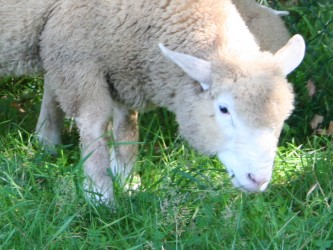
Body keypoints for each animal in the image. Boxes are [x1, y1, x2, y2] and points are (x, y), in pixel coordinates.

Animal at [0, 0, 304, 202]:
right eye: (223, 108)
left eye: (283, 118)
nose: (259, 180)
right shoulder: (76, 56)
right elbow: (94, 127)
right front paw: (100, 198)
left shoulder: (122, 69)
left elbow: (127, 129)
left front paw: (126, 181)